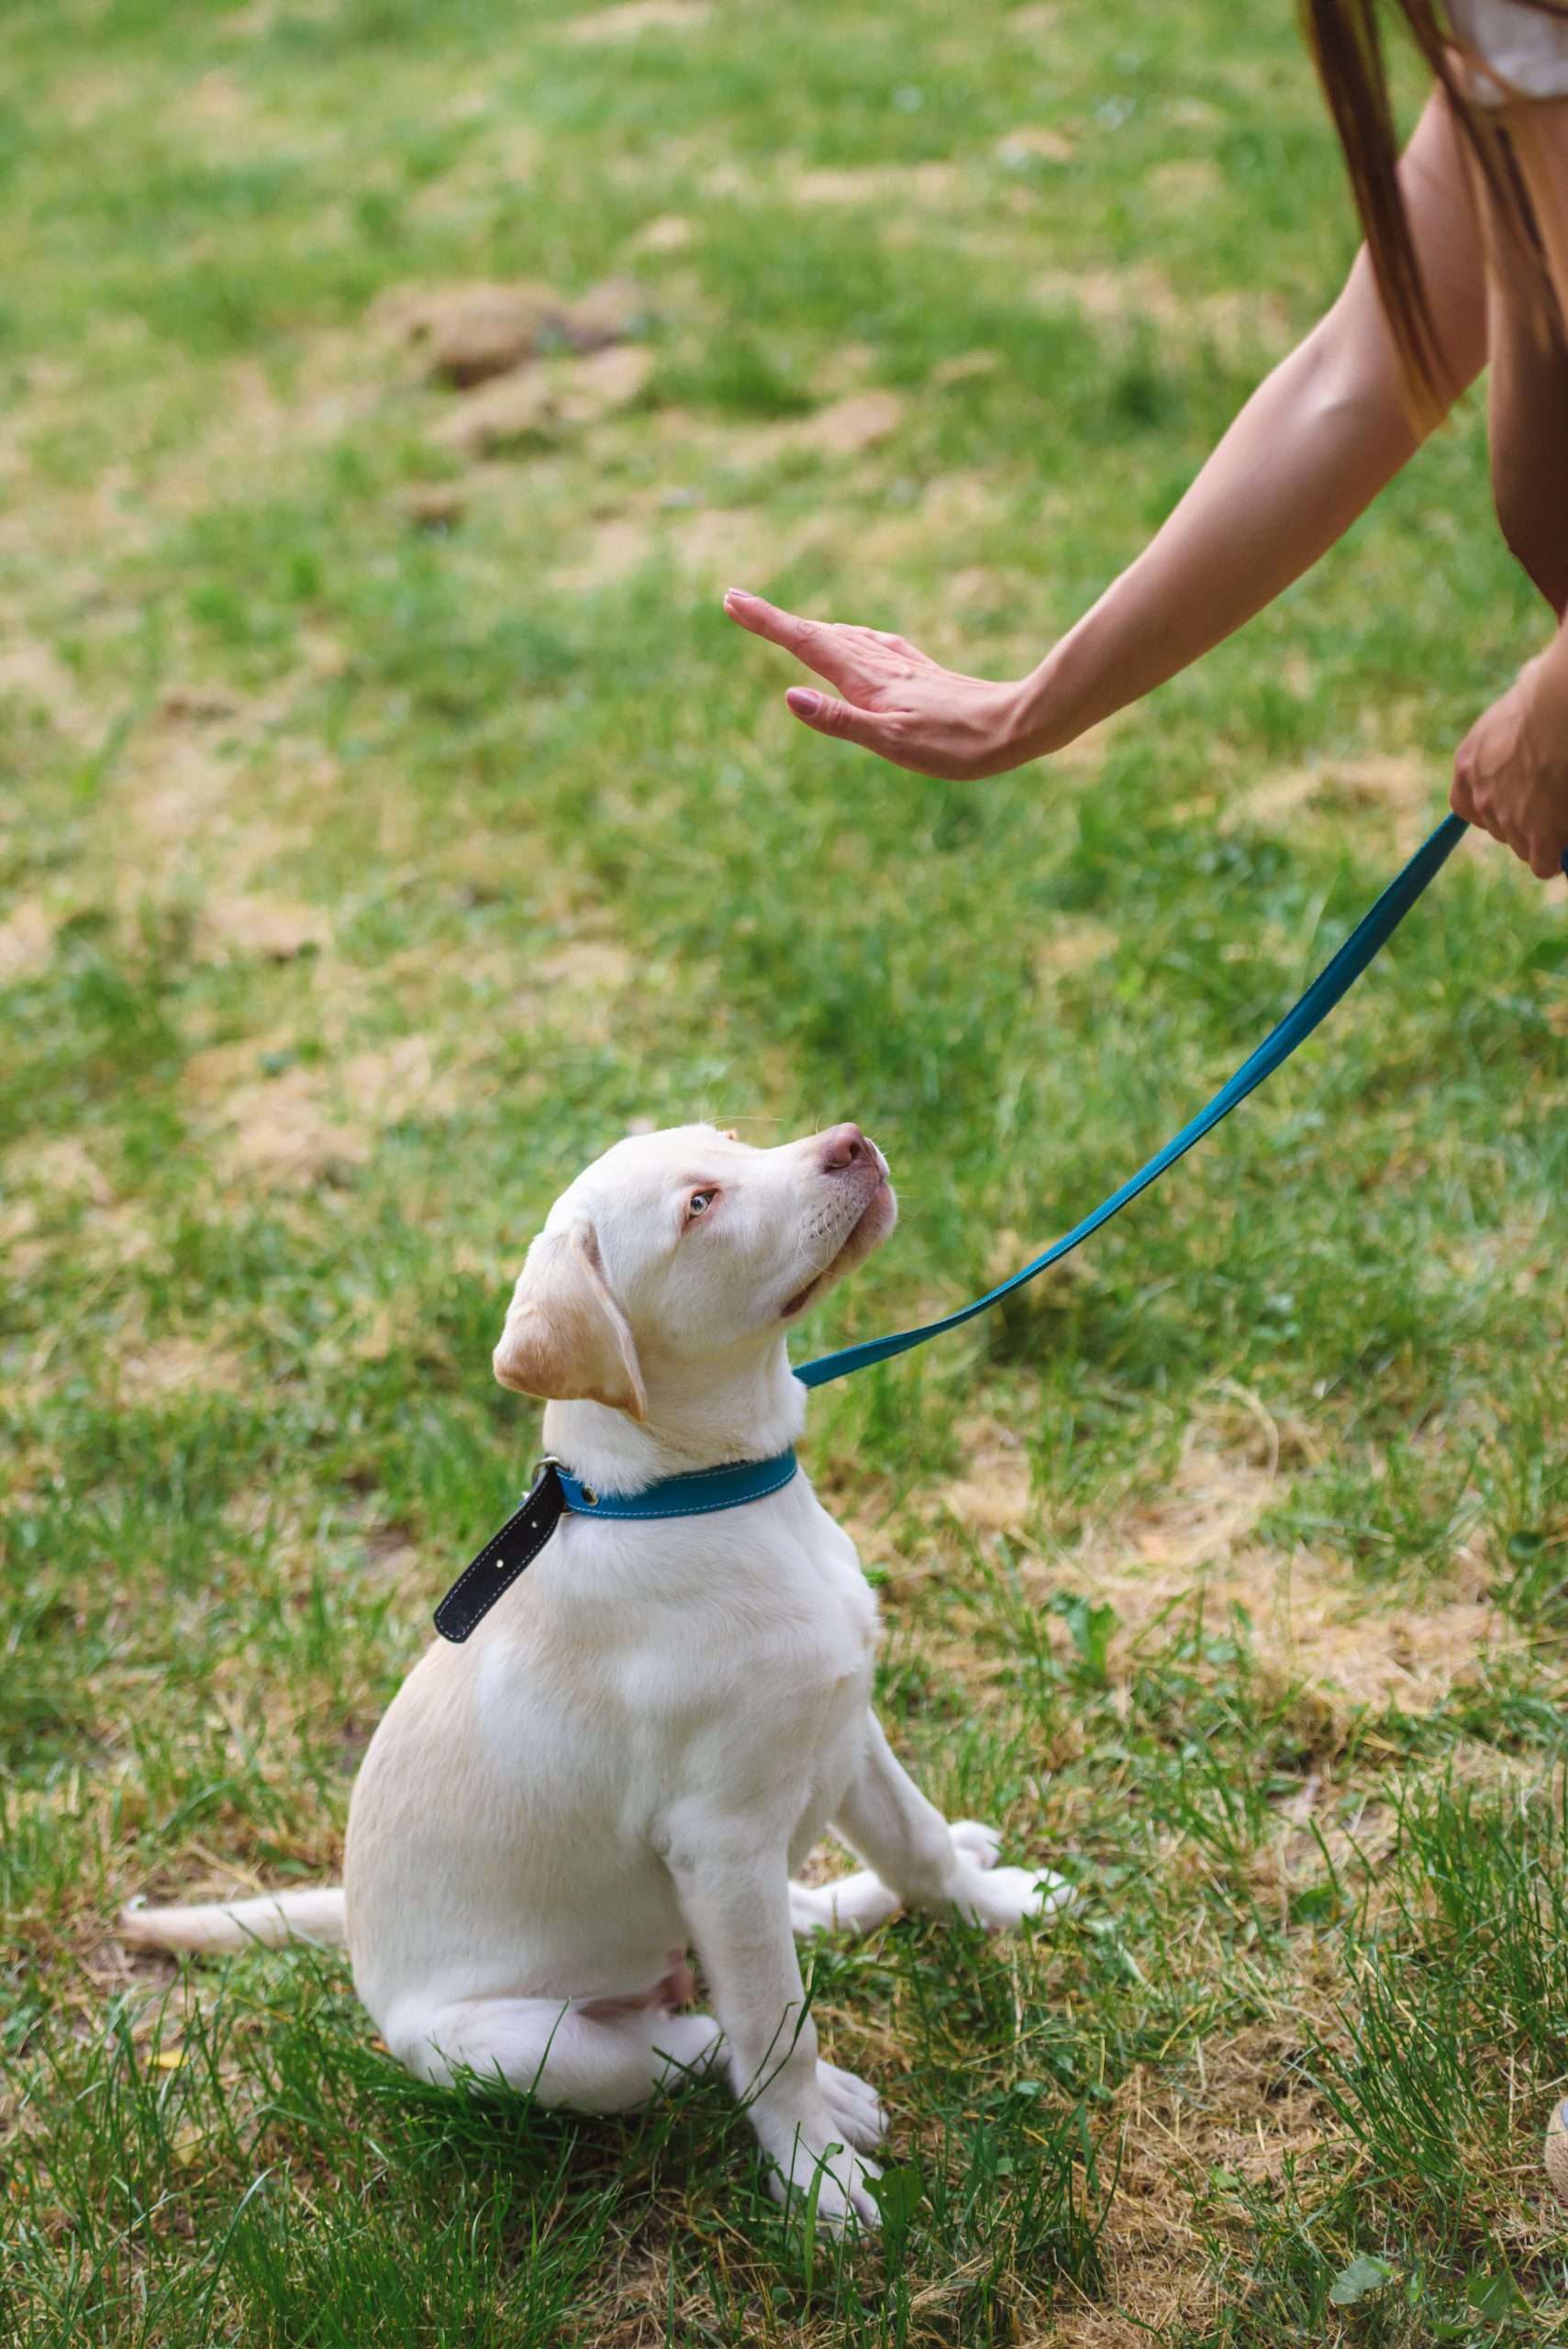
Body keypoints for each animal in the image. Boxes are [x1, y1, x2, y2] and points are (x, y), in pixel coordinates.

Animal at [122, 1127, 1065, 2226]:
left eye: (734, 1138)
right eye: (699, 1206)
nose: (848, 1142)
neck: (704, 1498)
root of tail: (355, 1939)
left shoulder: (843, 1730)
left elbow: (915, 1847)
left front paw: (991, 1903)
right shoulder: (719, 1835)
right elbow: (776, 2027)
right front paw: (815, 2170)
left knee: (769, 1937)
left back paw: (865, 1898)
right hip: (522, 2045)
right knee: (694, 2042)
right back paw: (809, 2086)